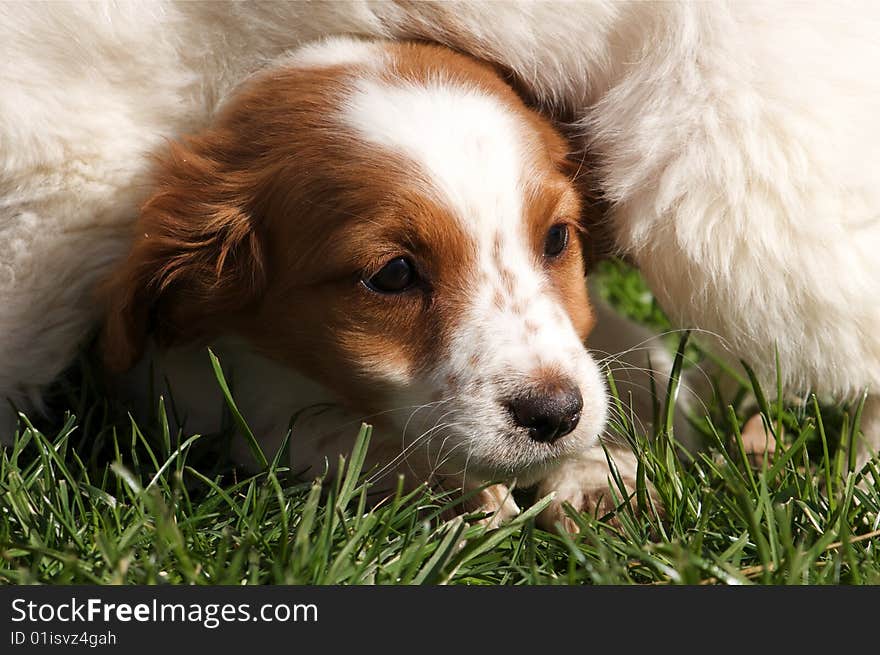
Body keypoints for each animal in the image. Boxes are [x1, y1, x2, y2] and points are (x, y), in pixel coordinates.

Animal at [101, 37, 624, 528]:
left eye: (556, 237)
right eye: (394, 274)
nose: (555, 414)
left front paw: (597, 472)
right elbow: (300, 426)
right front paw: (453, 487)